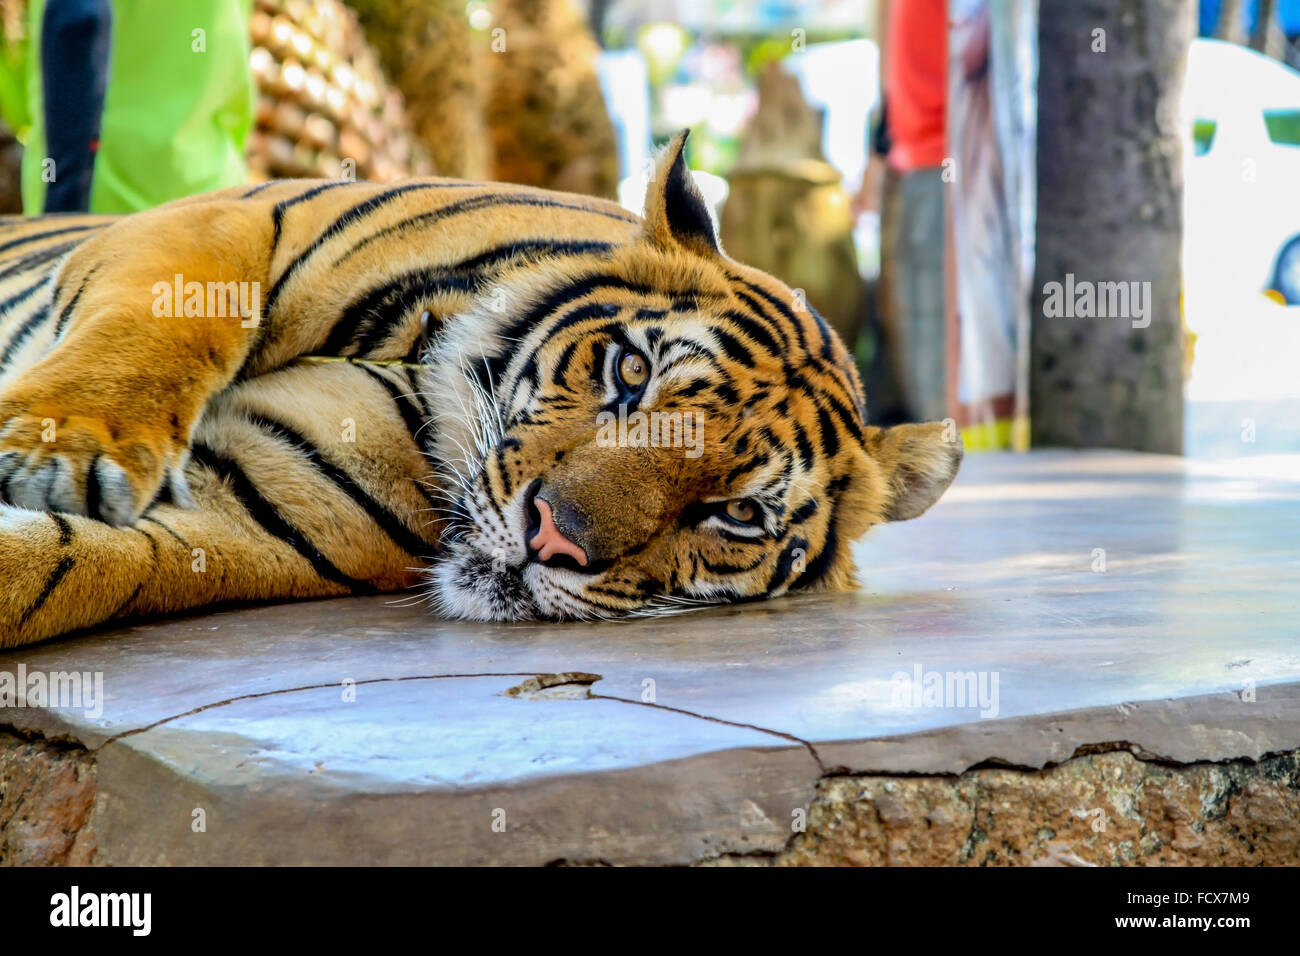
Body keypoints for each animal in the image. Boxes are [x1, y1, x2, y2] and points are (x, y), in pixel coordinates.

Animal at [0, 128, 956, 650]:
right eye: (632, 373)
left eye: (739, 513)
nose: (551, 540)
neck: (428, 376)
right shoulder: (229, 217)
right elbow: (152, 323)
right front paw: (64, 444)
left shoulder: (241, 510)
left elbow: (68, 568)